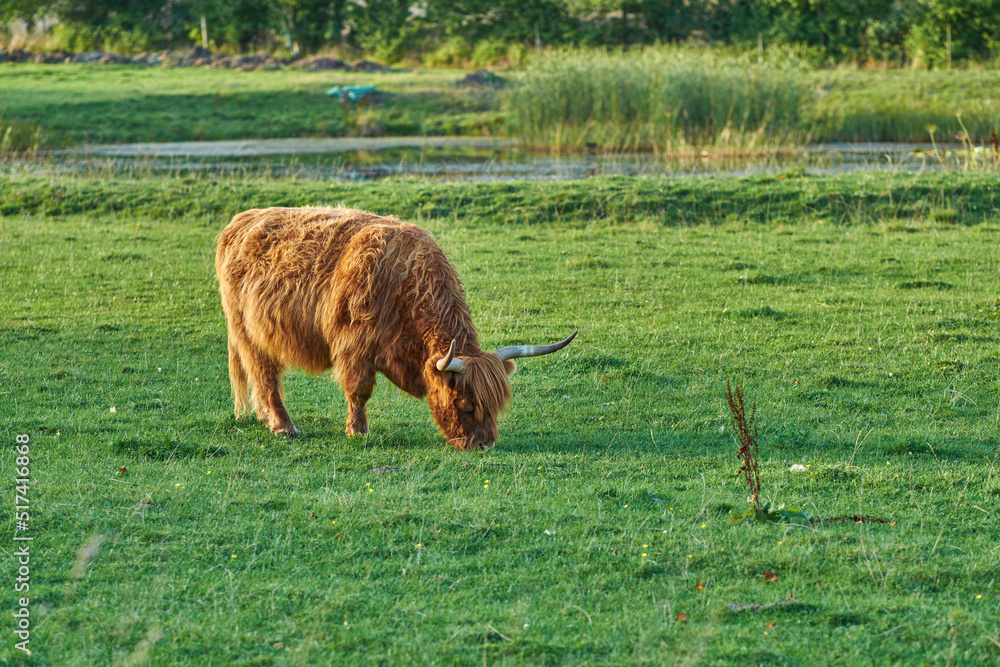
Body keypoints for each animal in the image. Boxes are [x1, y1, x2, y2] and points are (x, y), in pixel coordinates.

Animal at [217, 206, 580, 452]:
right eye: (466, 404)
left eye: (496, 405)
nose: (485, 445)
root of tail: (242, 220)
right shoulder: (354, 345)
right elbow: (359, 391)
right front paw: (358, 431)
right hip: (248, 332)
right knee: (265, 375)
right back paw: (283, 426)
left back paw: (268, 419)